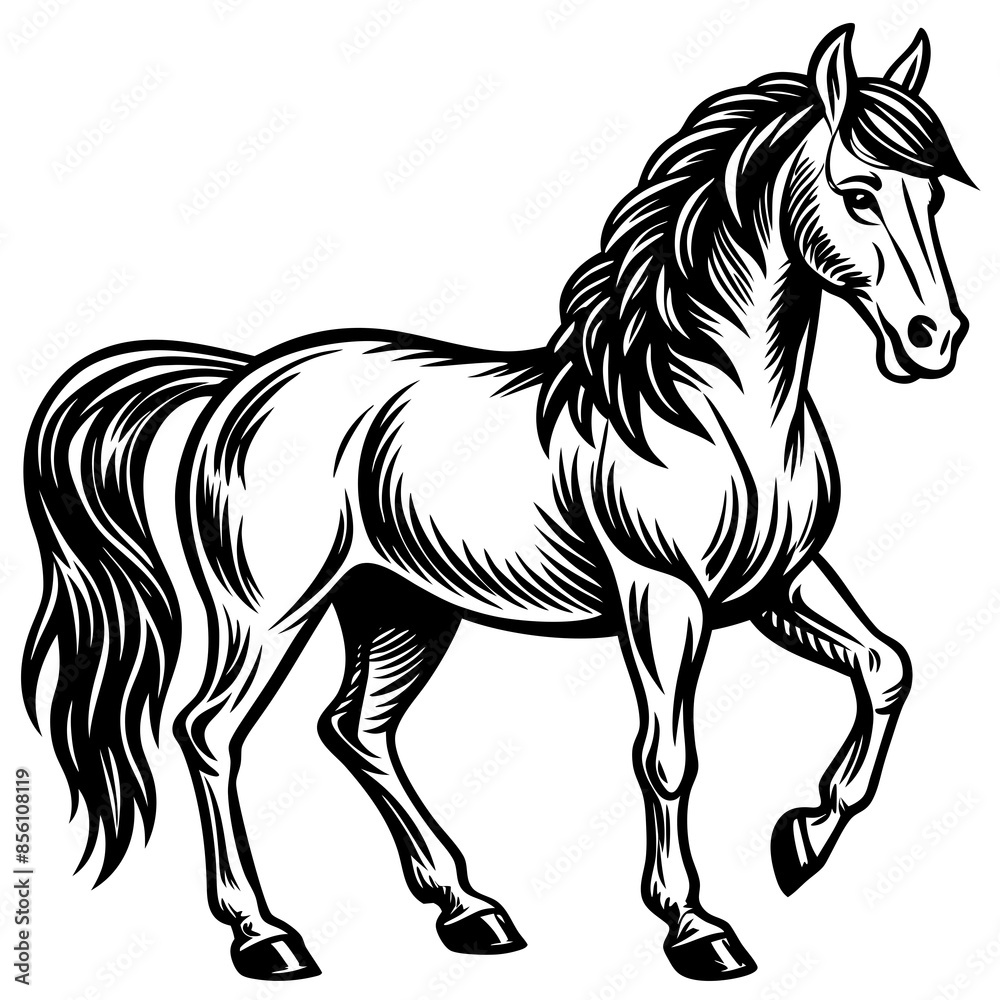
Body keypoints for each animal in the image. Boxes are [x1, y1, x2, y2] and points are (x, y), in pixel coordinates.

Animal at [22, 24, 972, 983]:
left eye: (930, 194)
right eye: (858, 192)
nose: (936, 339)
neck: (701, 404)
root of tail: (234, 384)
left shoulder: (778, 584)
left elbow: (887, 668)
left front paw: (802, 840)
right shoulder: (663, 595)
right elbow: (668, 756)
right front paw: (697, 929)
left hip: (398, 607)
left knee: (356, 729)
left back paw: (469, 911)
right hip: (268, 614)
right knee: (210, 734)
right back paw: (267, 936)